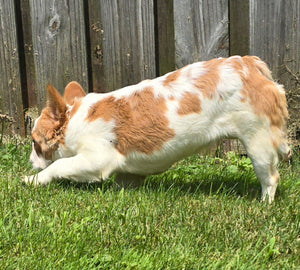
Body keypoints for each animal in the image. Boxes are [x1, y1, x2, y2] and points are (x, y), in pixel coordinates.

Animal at [24, 55, 292, 202]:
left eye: (35, 143)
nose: (29, 161)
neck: (76, 118)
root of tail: (250, 64)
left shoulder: (96, 158)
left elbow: (60, 165)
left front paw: (32, 179)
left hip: (257, 141)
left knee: (271, 177)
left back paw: (264, 204)